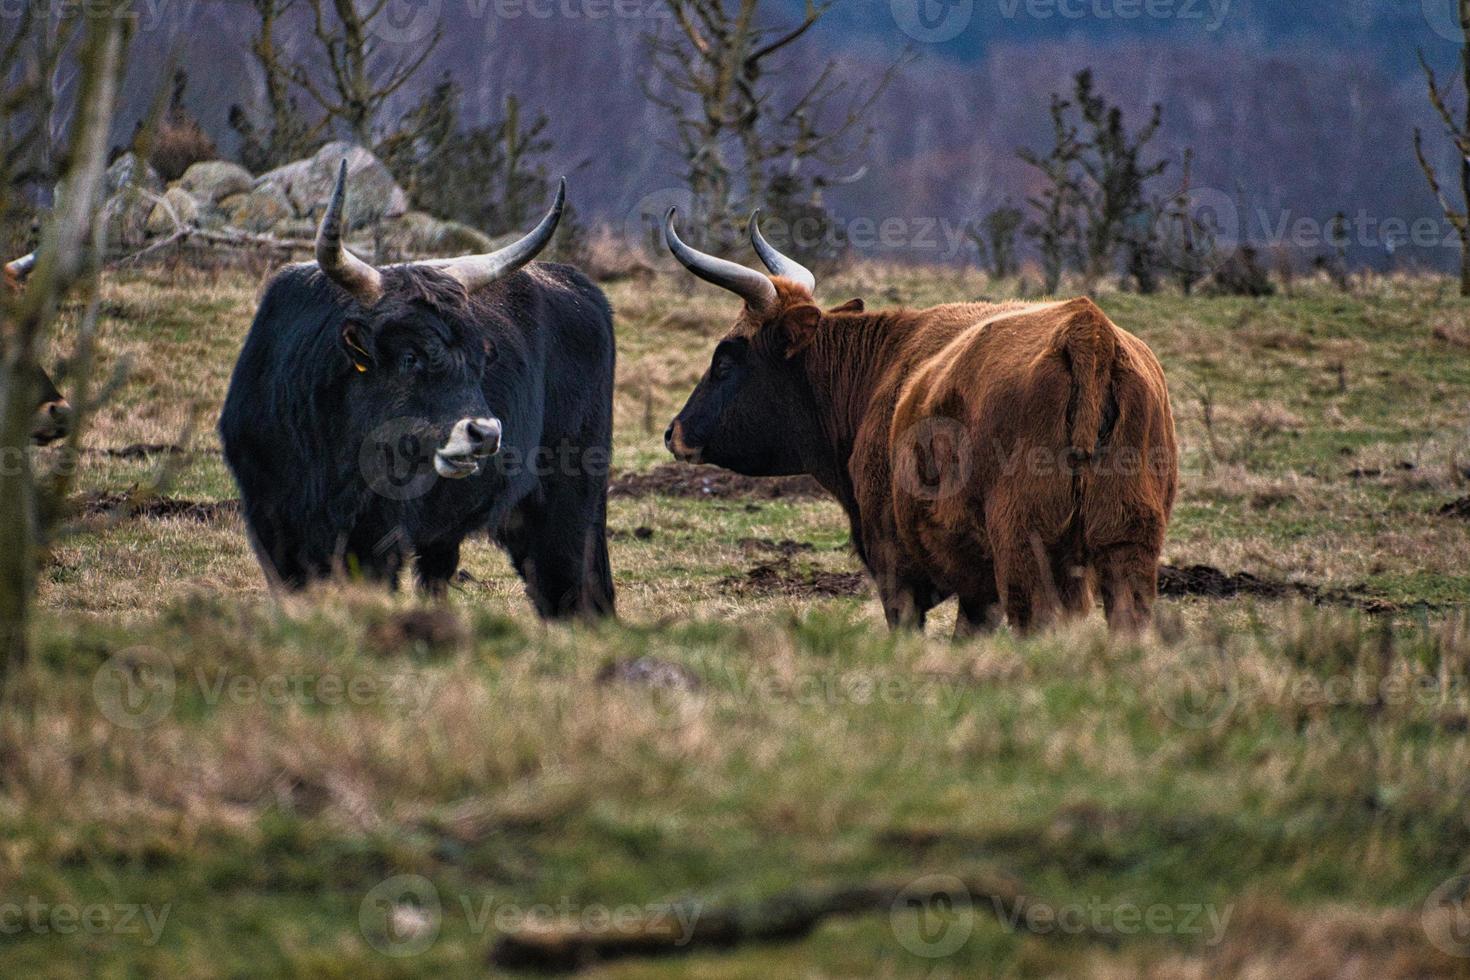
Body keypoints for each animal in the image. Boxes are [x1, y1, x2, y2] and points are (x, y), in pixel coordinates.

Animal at [217, 163, 614, 617]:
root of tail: (581, 288)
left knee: (572, 589)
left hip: (570, 503)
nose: (485, 434)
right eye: (410, 357)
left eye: (480, 358)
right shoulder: (273, 526)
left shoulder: (376, 539)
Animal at [661, 211, 1176, 631]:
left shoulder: (897, 573)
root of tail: (1086, 330)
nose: (673, 432)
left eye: (726, 359)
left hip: (1027, 551)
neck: (881, 367)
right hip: (1128, 550)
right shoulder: (978, 594)